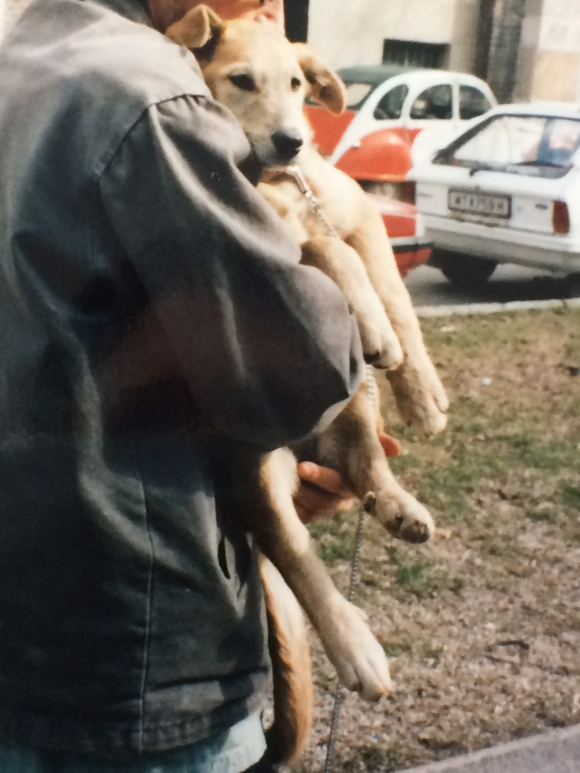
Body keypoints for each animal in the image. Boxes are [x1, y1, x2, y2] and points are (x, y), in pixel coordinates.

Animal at [164, 9, 448, 764]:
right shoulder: (272, 240)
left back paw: (400, 508)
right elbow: (328, 252)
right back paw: (357, 649)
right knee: (297, 554)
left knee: (367, 463)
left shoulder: (358, 214)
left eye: (297, 84)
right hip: (254, 471)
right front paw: (371, 324)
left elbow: (387, 287)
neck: (277, 181)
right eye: (240, 81)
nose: (292, 139)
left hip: (351, 408)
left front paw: (421, 390)